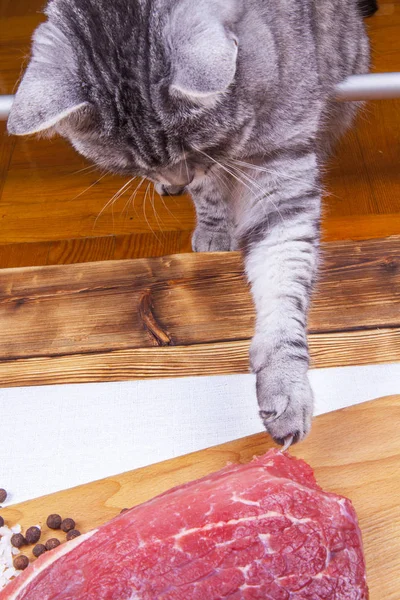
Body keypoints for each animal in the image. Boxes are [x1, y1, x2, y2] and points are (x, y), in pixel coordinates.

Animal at [7, 0, 372, 446]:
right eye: (131, 165)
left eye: (197, 146)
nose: (177, 177)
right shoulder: (210, 174)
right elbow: (211, 196)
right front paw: (213, 230)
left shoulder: (280, 169)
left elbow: (283, 282)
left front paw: (285, 382)